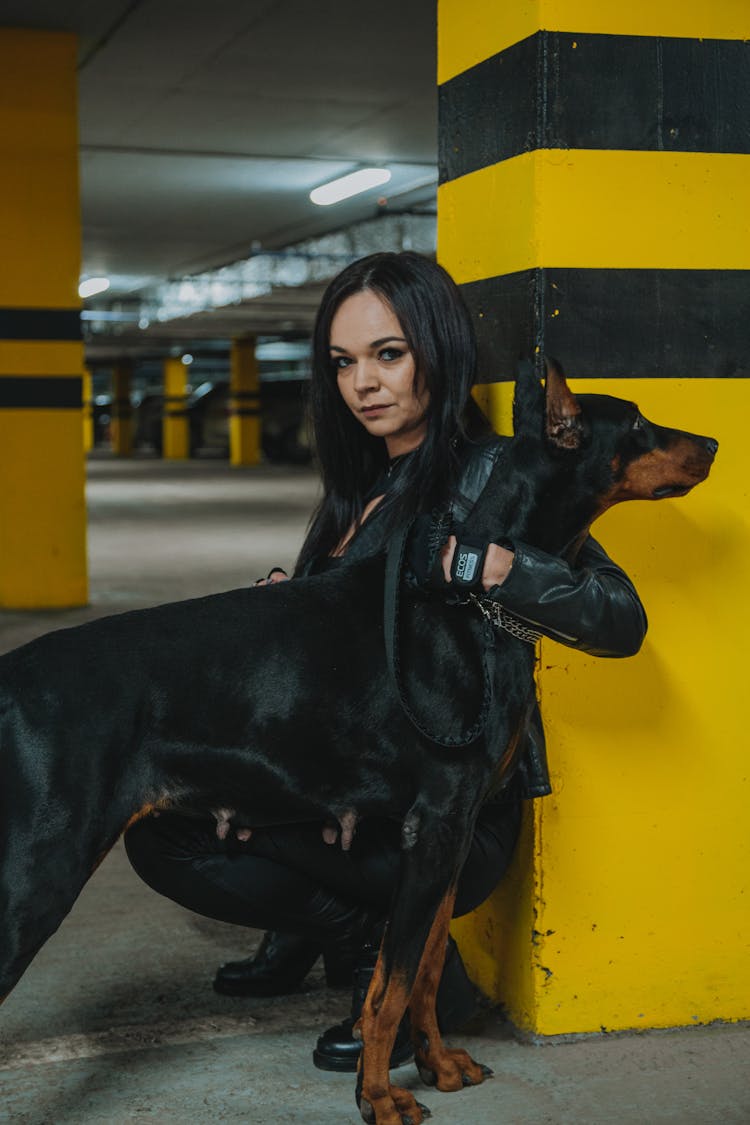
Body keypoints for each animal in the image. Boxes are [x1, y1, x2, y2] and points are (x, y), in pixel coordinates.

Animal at [0, 362, 715, 1125]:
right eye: (637, 423)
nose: (712, 444)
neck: (471, 598)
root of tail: (11, 677)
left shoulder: (453, 835)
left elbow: (421, 968)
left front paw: (437, 1064)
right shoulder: (434, 825)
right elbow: (390, 986)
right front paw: (377, 1096)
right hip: (41, 867)